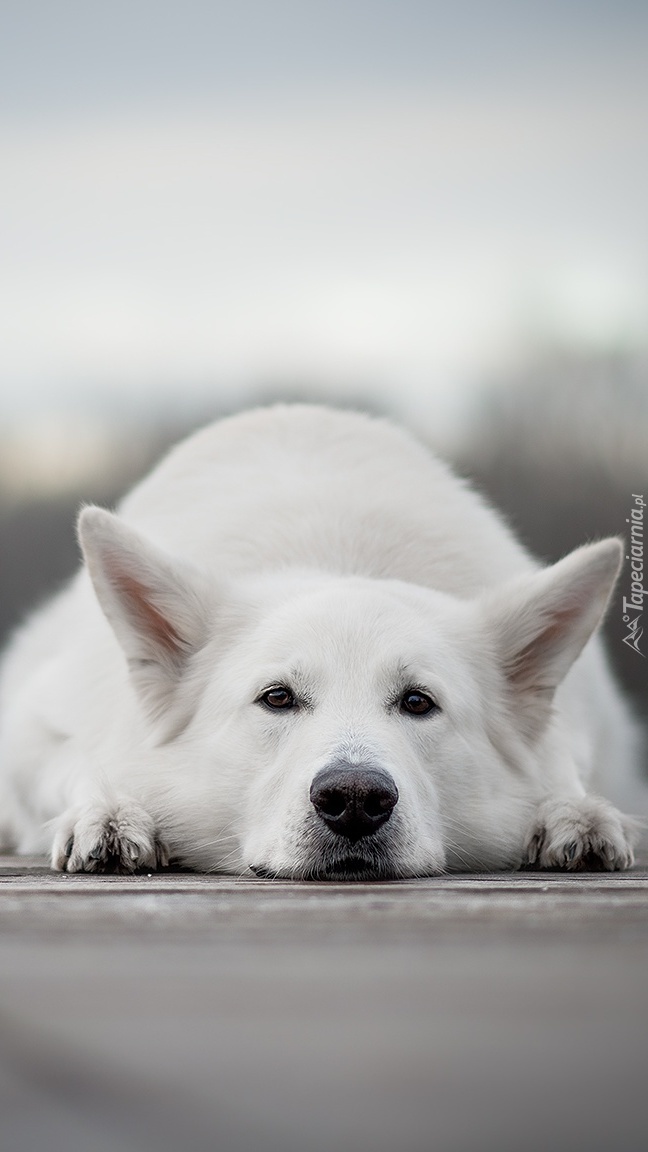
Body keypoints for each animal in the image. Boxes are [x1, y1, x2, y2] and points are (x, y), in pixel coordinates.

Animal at [0, 405, 636, 870]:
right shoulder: (34, 733)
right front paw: (108, 811)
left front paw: (571, 812)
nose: (354, 799)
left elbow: (561, 765)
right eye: (277, 697)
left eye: (418, 702)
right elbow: (77, 760)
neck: (333, 554)